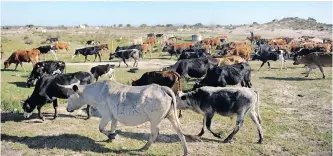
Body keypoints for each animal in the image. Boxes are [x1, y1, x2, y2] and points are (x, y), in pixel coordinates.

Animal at [58, 80, 188, 155]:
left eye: (68, 95)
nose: (67, 109)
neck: (96, 92)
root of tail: (162, 88)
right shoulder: (114, 117)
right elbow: (112, 127)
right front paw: (110, 138)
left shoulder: (106, 115)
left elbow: (101, 128)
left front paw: (113, 136)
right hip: (171, 116)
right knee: (180, 132)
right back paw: (186, 151)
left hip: (155, 120)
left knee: (154, 134)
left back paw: (144, 147)